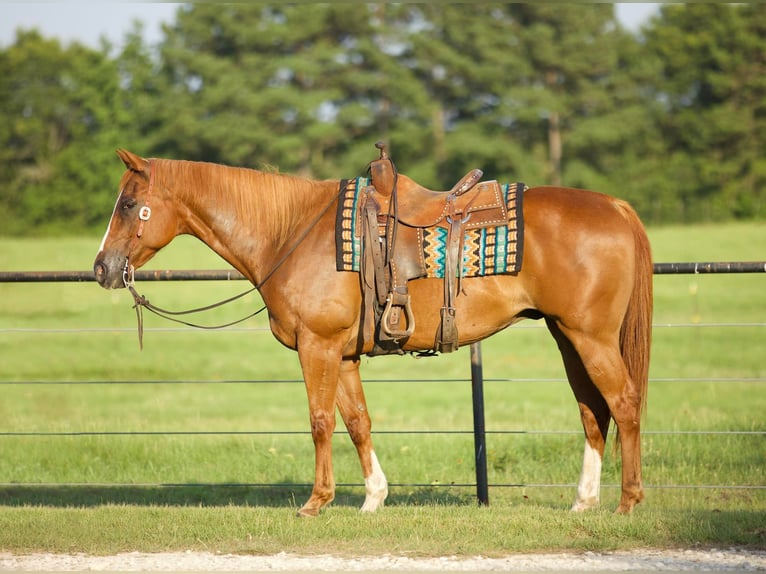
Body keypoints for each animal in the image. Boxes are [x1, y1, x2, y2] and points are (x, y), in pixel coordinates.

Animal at [94, 148, 656, 516]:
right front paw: (372, 498)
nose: (101, 267)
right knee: (593, 411)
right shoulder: (342, 355)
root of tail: (616, 206)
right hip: (568, 336)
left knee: (624, 404)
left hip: (590, 337)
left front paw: (316, 502)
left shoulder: (317, 347)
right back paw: (584, 502)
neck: (291, 231)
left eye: (127, 205)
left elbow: (320, 421)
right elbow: (357, 422)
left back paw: (628, 502)